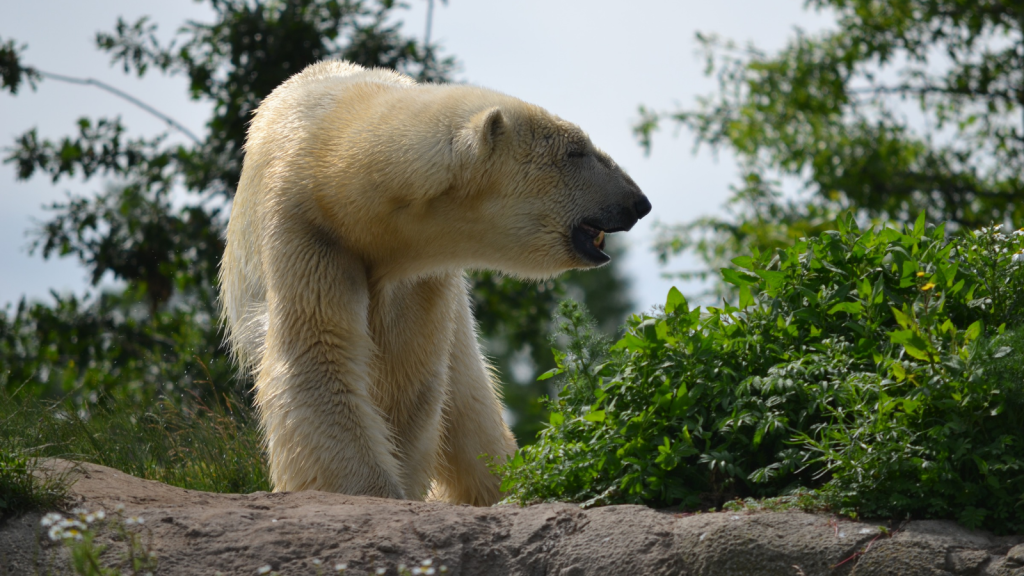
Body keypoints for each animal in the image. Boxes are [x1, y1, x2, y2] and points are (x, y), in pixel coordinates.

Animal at [220, 60, 651, 504]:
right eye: (575, 151)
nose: (639, 202)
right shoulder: (308, 230)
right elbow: (317, 353)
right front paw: (374, 489)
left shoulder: (421, 272)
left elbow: (406, 375)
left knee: (469, 409)